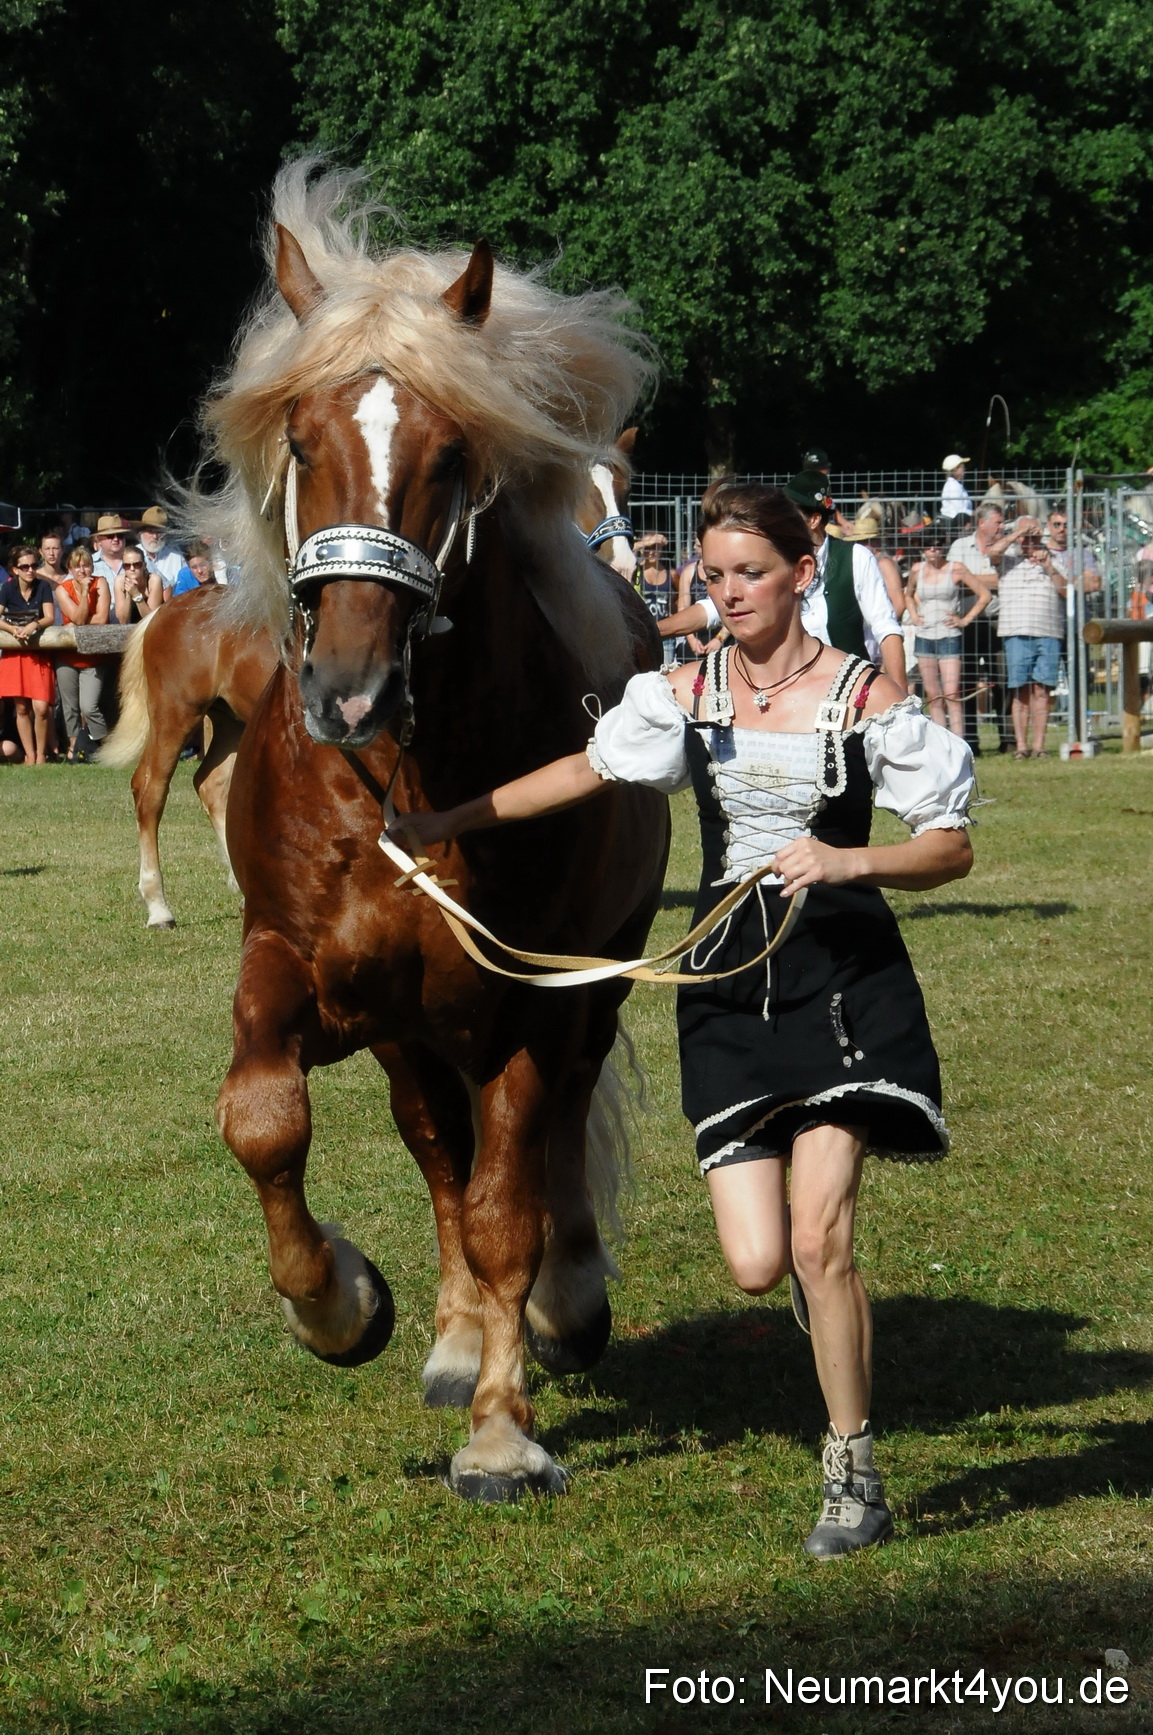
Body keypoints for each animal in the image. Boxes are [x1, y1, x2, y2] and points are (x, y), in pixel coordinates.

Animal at [100, 587, 278, 928]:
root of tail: (163, 610)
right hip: (175, 715)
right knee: (150, 790)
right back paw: (158, 908)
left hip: (231, 721)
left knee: (211, 785)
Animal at [202, 161, 669, 1502]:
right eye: (301, 443)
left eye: (453, 453)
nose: (348, 691)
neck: (400, 780)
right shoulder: (292, 963)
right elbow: (266, 1120)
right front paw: (338, 1304)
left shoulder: (531, 1000)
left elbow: (514, 1200)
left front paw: (506, 1430)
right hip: (408, 1028)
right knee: (436, 1147)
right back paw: (460, 1337)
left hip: (587, 985)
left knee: (549, 1137)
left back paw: (561, 1305)